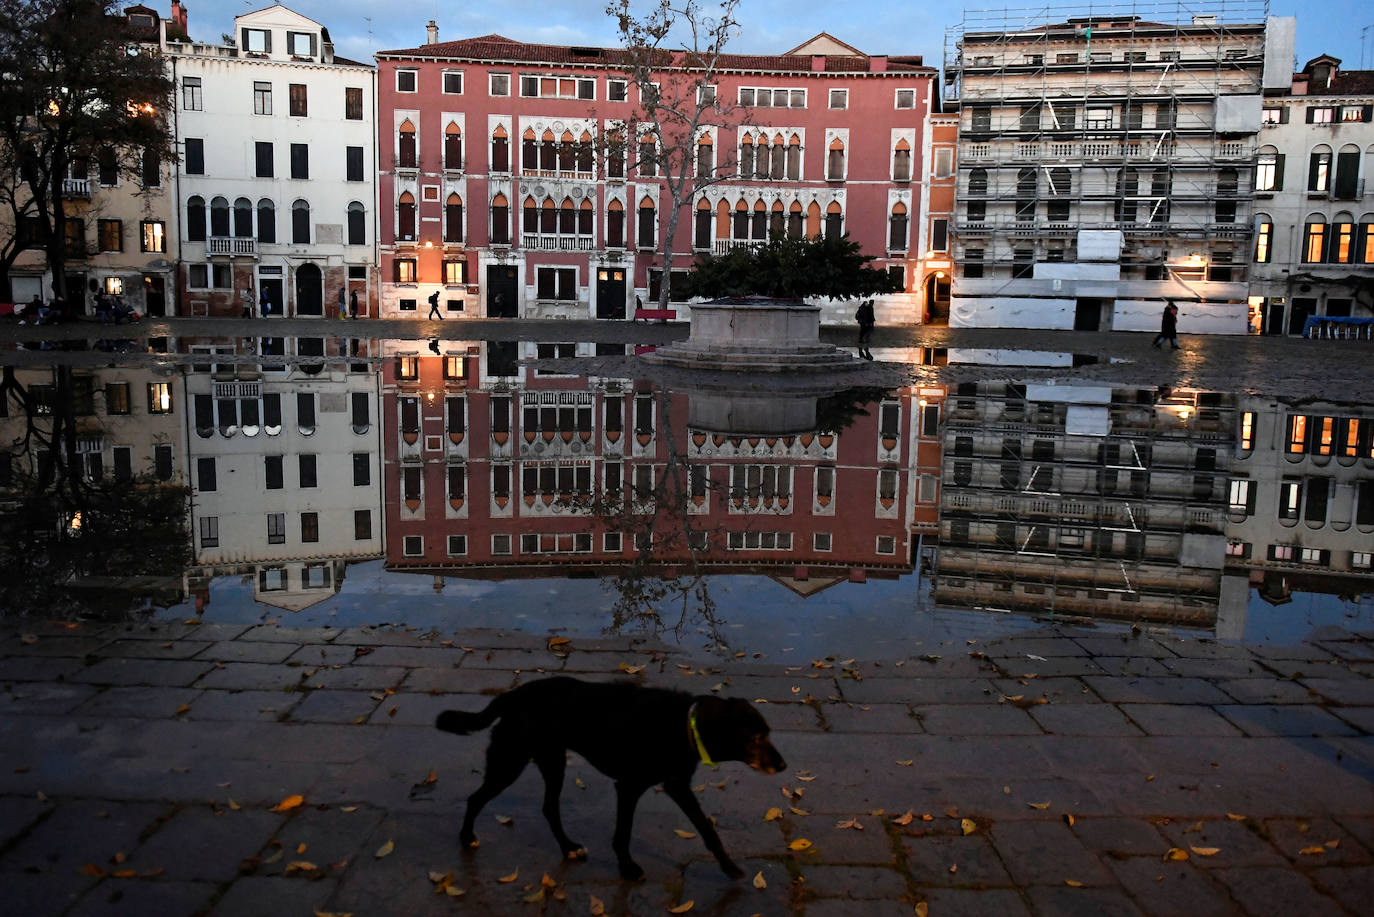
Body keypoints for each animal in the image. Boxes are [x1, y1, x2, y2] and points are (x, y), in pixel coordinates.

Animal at [434, 673, 791, 879]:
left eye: (768, 734)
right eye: (755, 739)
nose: (784, 765)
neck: (684, 725)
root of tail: (512, 695)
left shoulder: (677, 785)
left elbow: (706, 829)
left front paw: (728, 867)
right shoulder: (630, 787)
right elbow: (623, 832)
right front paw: (627, 868)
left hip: (552, 762)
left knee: (549, 808)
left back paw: (568, 848)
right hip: (510, 761)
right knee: (475, 798)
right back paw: (467, 837)